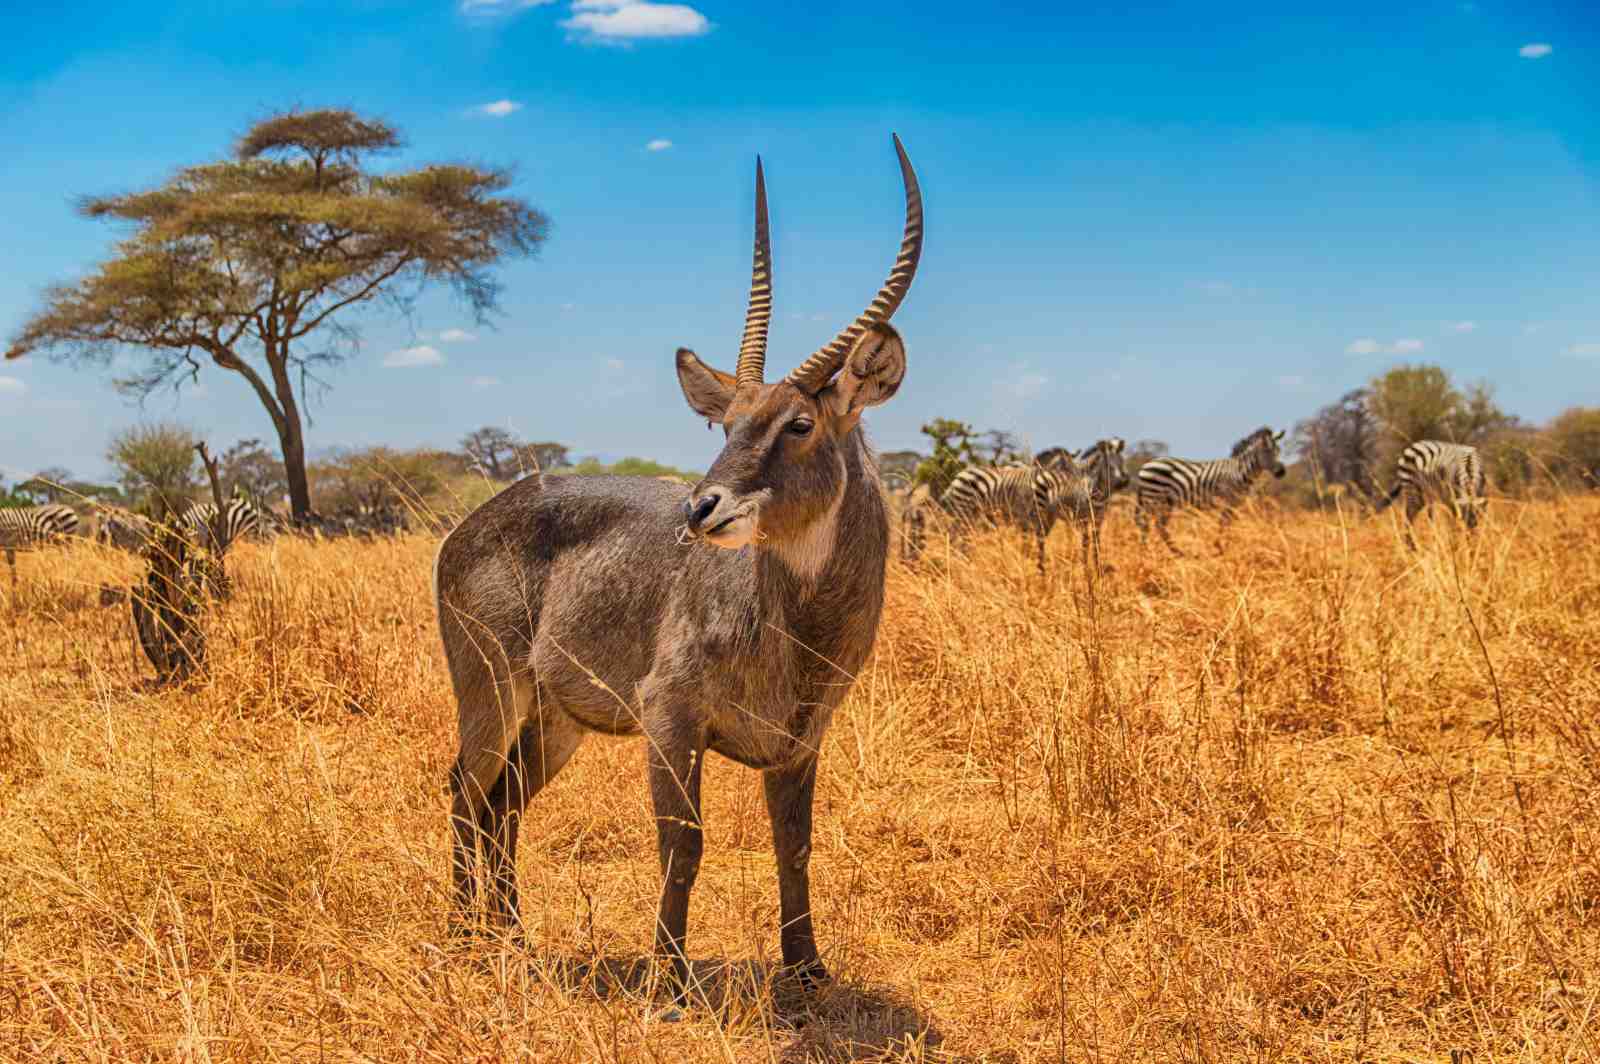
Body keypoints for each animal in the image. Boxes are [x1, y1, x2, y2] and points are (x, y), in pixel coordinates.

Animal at [1134, 426, 1286, 554]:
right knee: (1147, 525)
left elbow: (1229, 524)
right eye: (1267, 452)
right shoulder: (1227, 499)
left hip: (1165, 503)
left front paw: (1226, 545)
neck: (1239, 471)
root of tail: (1145, 465)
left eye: (1278, 451)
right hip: (1153, 499)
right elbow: (1223, 523)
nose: (1282, 472)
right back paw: (1150, 551)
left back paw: (1173, 552)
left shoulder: (1236, 503)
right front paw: (1219, 547)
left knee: (1158, 526)